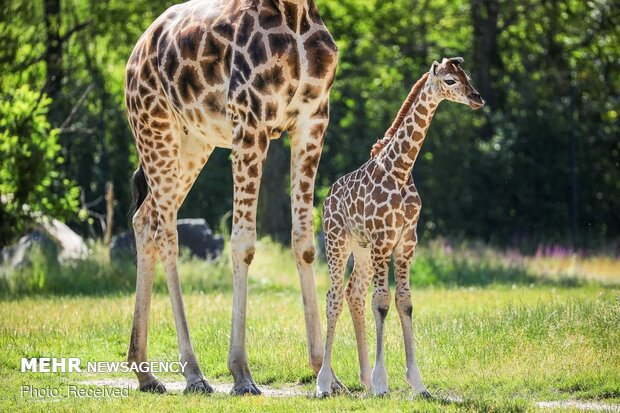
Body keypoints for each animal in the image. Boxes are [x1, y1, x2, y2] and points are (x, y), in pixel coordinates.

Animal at [124, 0, 340, 394]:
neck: (295, 13)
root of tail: (139, 47)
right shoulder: (250, 119)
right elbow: (243, 243)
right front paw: (241, 372)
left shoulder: (312, 119)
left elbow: (304, 242)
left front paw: (326, 375)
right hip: (154, 126)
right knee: (166, 232)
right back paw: (193, 373)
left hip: (194, 140)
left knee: (145, 220)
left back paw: (145, 372)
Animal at [314, 58, 484, 396]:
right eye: (450, 80)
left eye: (467, 76)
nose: (477, 98)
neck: (401, 170)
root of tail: (327, 198)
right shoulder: (383, 240)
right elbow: (381, 303)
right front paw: (383, 382)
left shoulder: (406, 242)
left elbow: (404, 302)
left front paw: (416, 383)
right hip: (337, 242)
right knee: (334, 297)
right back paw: (325, 382)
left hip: (363, 251)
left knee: (353, 293)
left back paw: (364, 380)